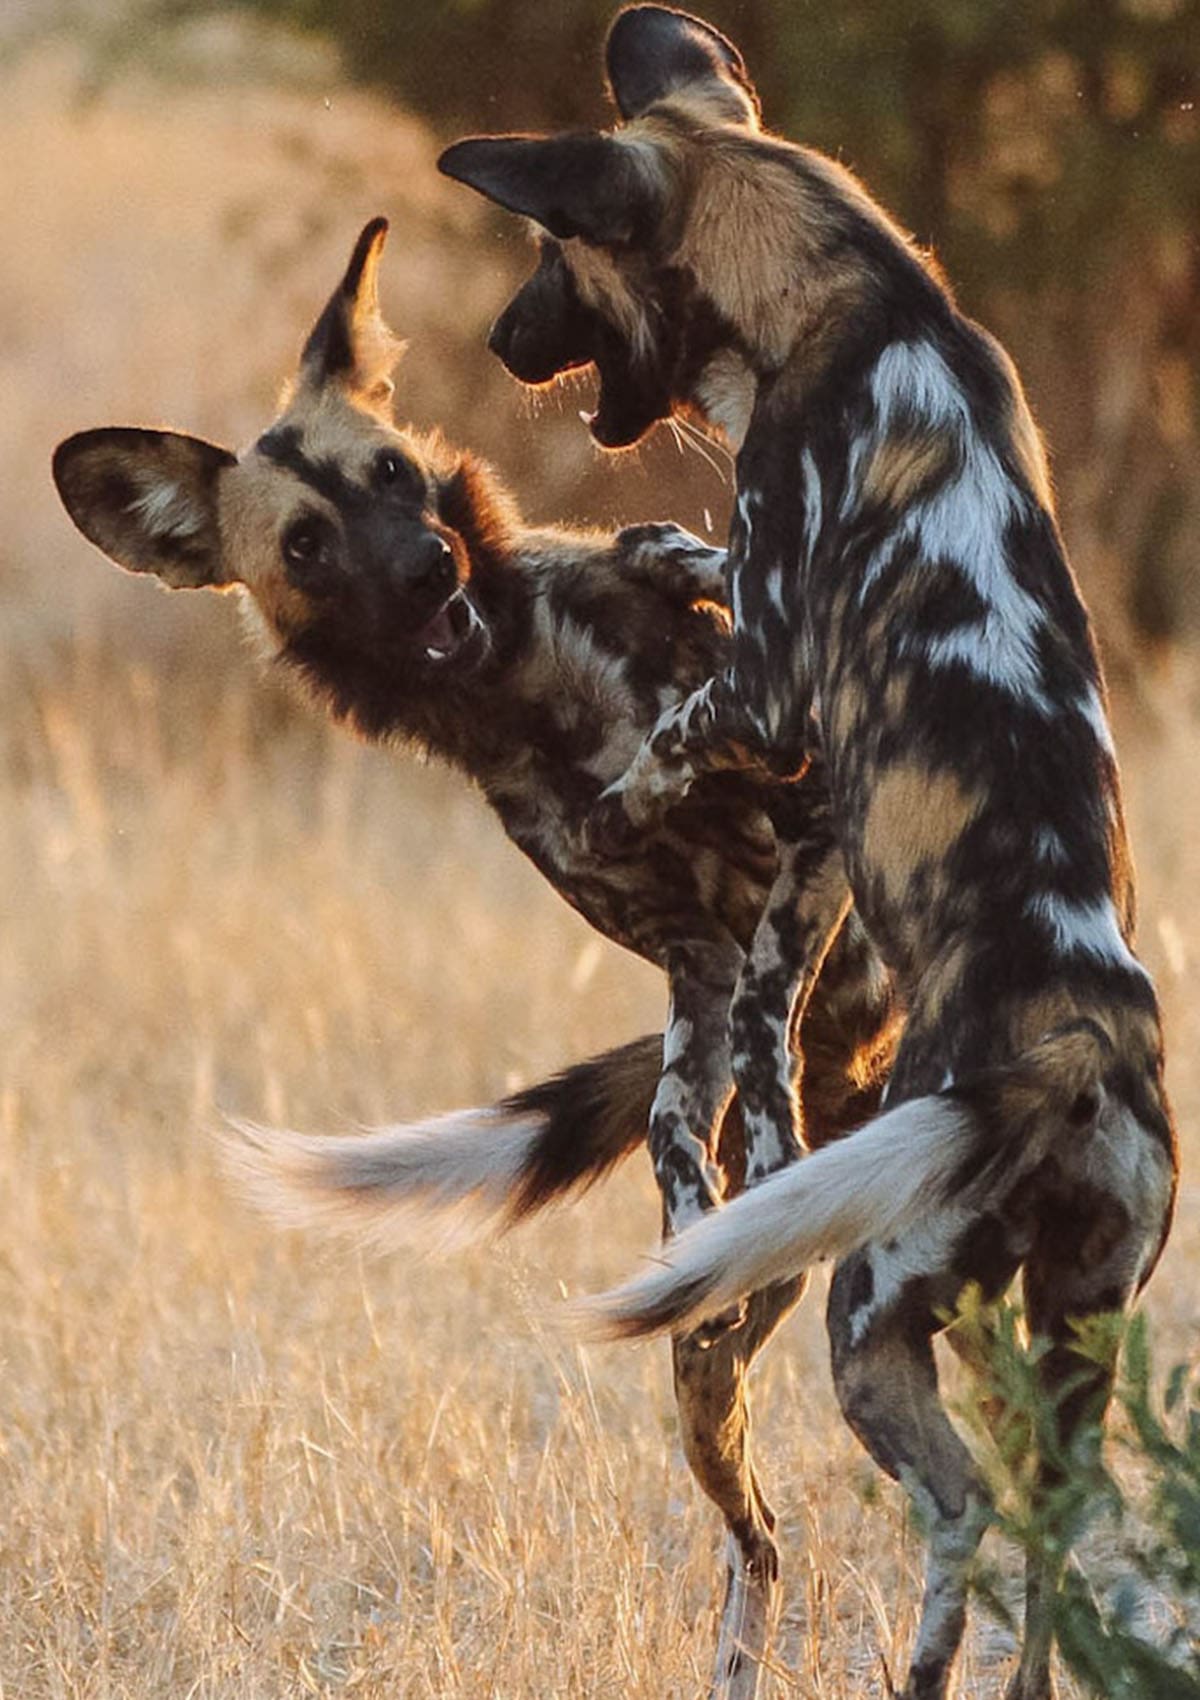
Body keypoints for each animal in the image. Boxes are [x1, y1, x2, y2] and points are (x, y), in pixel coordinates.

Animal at [56, 219, 897, 1700]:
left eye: (393, 474)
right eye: (311, 542)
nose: (428, 570)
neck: (530, 687)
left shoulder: (801, 832)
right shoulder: (693, 960)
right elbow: (690, 1108)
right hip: (708, 1400)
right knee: (756, 1526)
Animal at [438, 13, 1176, 1700]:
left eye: (550, 255)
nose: (503, 339)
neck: (860, 298)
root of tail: (1076, 1037)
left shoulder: (776, 678)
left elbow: (674, 729)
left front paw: (616, 801)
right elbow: (693, 555)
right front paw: (655, 547)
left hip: (872, 1306)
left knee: (960, 1509)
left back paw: (918, 1664)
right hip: (1068, 1344)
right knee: (1056, 1531)